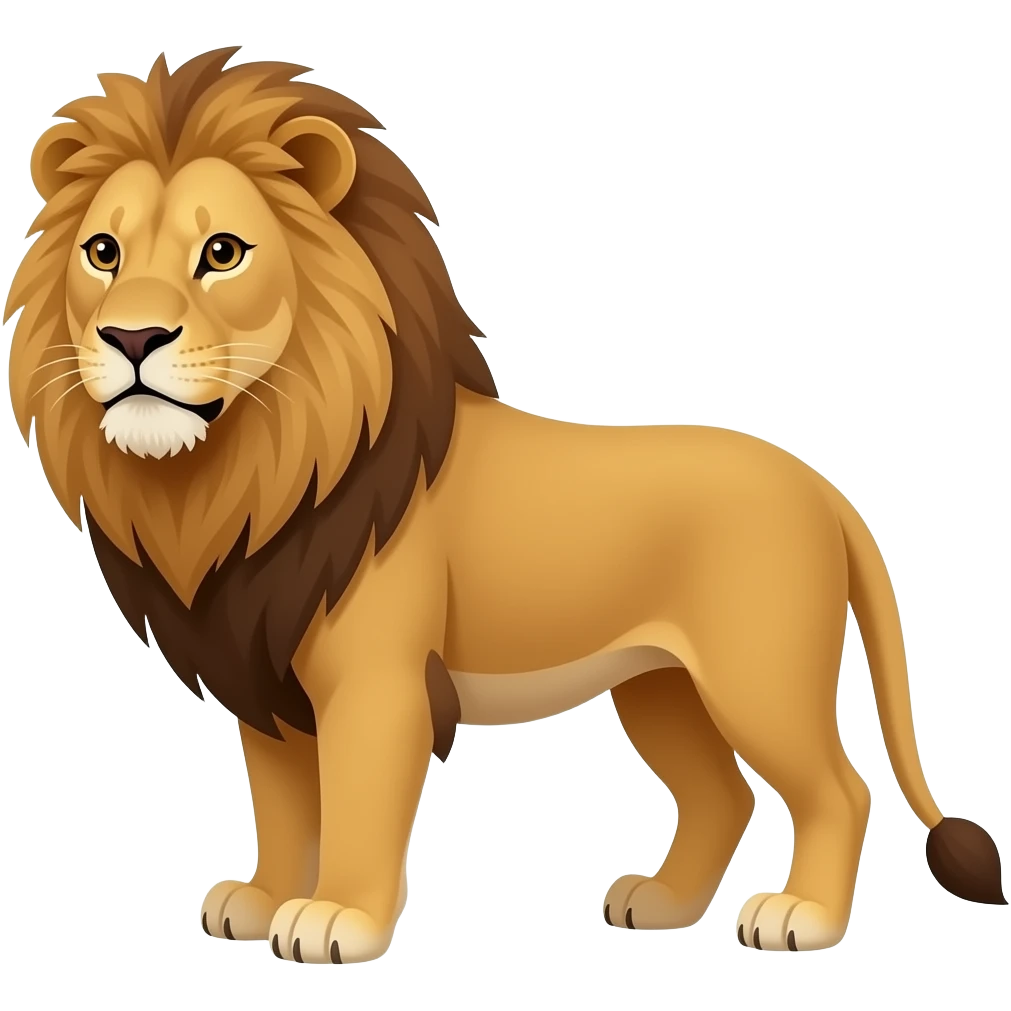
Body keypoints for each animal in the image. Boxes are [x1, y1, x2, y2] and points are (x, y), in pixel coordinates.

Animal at [7, 47, 1006, 965]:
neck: (246, 472)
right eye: (103, 252)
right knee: (721, 795)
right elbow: (286, 805)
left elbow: (358, 801)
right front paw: (258, 899)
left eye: (222, 253)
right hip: (661, 685)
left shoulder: (376, 681)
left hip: (754, 674)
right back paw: (661, 903)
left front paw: (336, 919)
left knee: (838, 788)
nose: (132, 335)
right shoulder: (265, 677)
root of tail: (825, 489)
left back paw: (800, 917)